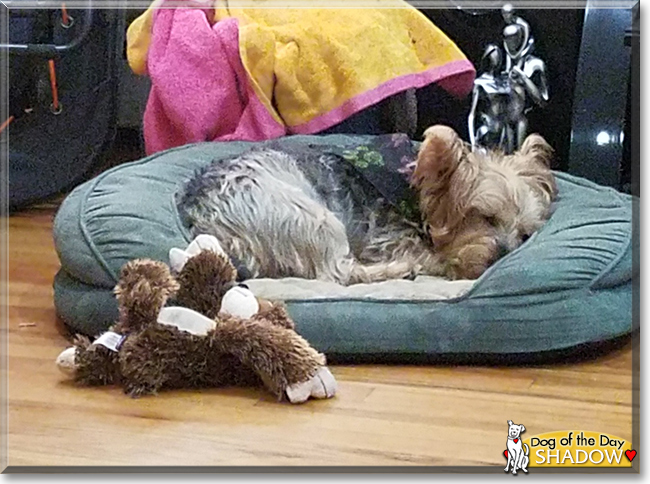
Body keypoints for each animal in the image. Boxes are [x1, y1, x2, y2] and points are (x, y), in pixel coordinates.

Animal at [177, 125, 556, 284]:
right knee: (337, 273)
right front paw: (445, 263)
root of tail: (201, 216)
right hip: (310, 216)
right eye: (484, 217)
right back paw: (401, 270)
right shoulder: (388, 237)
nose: (502, 256)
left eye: (525, 235)